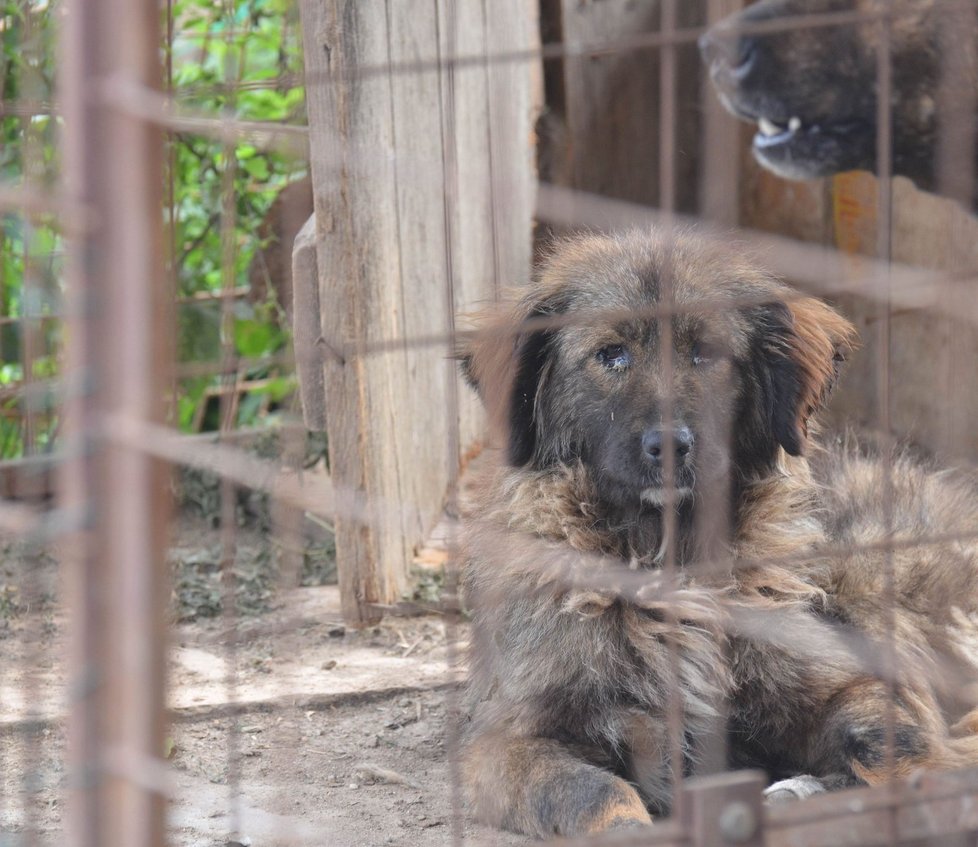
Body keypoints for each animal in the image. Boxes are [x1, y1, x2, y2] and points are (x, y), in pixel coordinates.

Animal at [456, 229, 976, 840]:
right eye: (611, 355)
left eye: (706, 353)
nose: (669, 445)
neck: (670, 567)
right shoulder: (507, 741)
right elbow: (591, 792)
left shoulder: (849, 683)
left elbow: (891, 745)